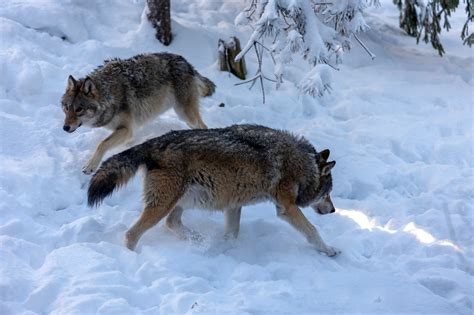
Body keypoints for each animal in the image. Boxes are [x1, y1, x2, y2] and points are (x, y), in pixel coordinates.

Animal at [60, 52, 215, 174]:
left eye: (79, 109)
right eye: (67, 107)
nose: (65, 128)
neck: (108, 95)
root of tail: (185, 62)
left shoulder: (126, 129)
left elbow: (102, 144)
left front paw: (90, 166)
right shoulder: (128, 131)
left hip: (185, 114)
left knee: (204, 127)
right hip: (185, 118)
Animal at [87, 123, 338, 256]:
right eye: (327, 194)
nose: (334, 210)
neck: (302, 164)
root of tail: (153, 143)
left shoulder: (234, 205)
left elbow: (232, 233)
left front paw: (226, 249)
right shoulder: (286, 208)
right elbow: (312, 230)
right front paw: (329, 250)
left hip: (184, 200)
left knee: (171, 222)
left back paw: (197, 241)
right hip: (163, 204)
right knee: (131, 234)